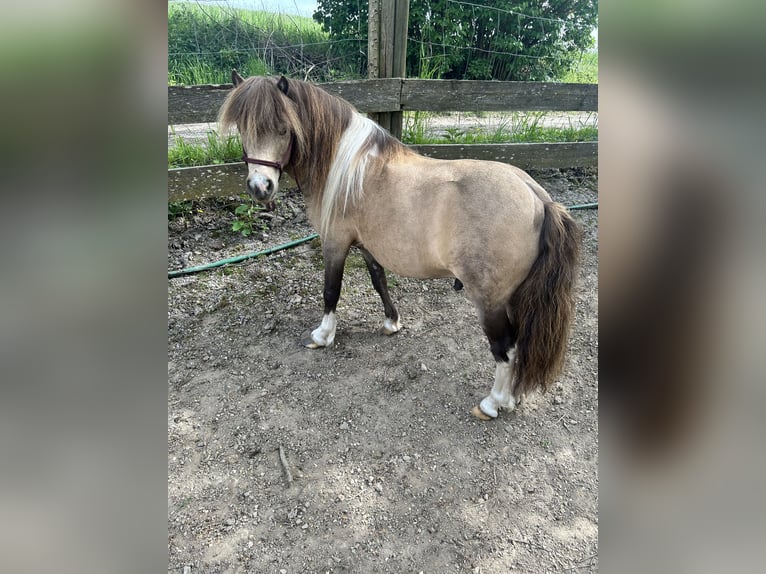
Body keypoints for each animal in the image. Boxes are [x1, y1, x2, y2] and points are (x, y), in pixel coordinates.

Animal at [219, 72, 581, 420]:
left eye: (283, 128)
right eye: (243, 128)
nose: (260, 187)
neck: (347, 167)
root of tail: (538, 197)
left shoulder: (335, 243)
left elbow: (331, 291)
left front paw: (323, 336)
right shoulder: (367, 245)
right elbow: (379, 281)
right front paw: (391, 322)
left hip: (490, 301)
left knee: (506, 348)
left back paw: (493, 403)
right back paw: (511, 398)